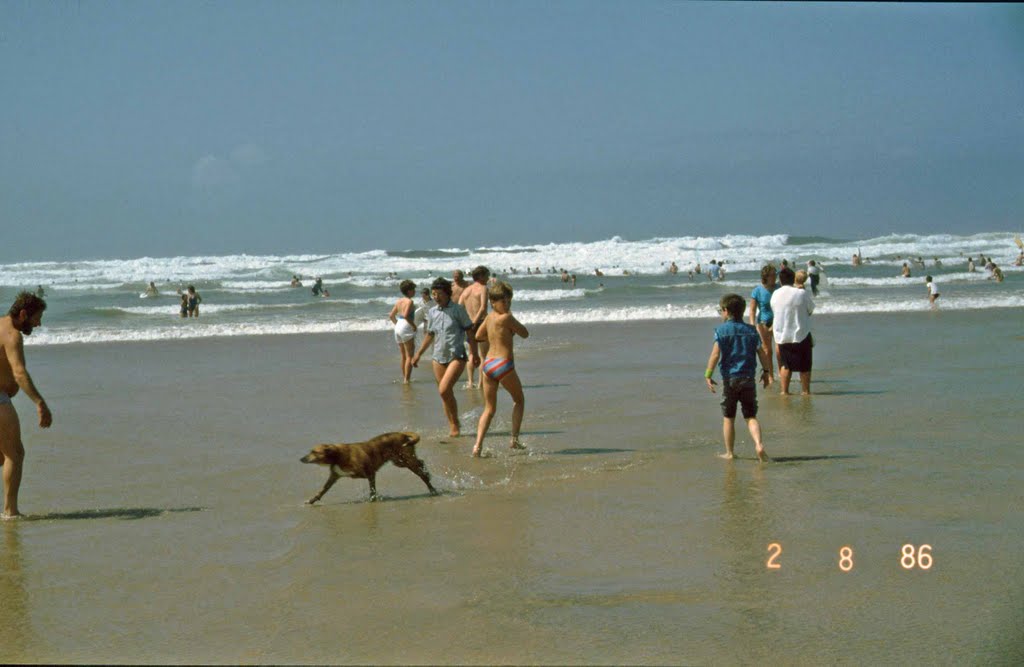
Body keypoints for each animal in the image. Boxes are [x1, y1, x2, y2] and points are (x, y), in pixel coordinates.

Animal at [299, 430, 438, 504]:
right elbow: (322, 490)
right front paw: (312, 500)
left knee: (421, 473)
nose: (301, 459)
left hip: (406, 460)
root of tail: (402, 433)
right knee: (421, 462)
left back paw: (432, 488)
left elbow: (372, 489)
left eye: (314, 452)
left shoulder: (370, 473)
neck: (337, 456)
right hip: (399, 462)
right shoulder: (334, 476)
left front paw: (372, 499)